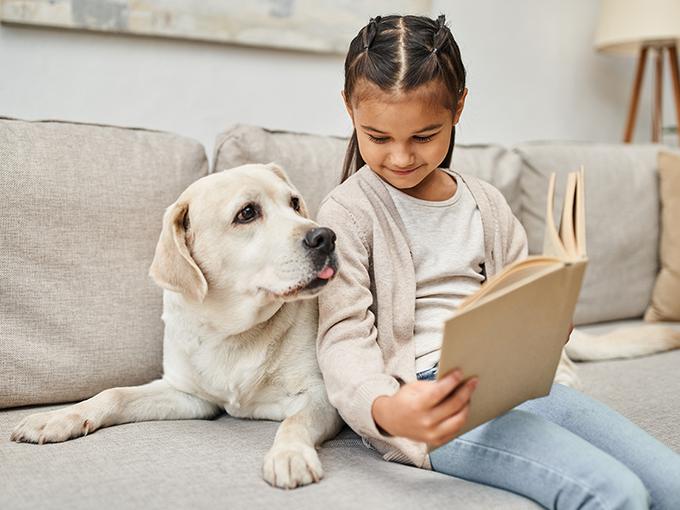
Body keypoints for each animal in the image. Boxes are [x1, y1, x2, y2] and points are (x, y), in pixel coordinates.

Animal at [9, 164, 346, 490]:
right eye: (247, 213)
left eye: (294, 203)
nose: (325, 237)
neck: (232, 332)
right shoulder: (188, 396)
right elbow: (114, 394)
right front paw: (59, 417)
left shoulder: (319, 396)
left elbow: (295, 421)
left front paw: (290, 455)